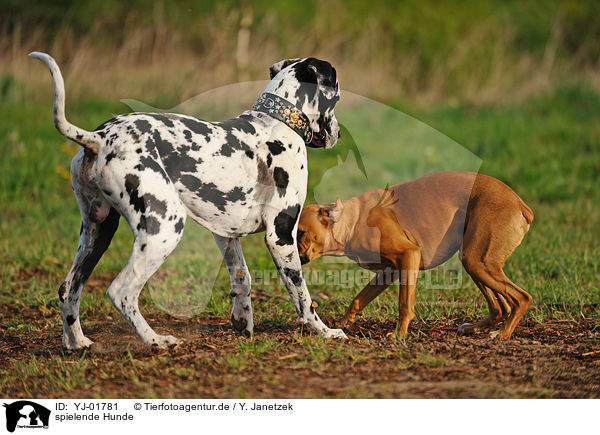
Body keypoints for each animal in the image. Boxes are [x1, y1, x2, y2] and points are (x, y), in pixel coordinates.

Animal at [29, 52, 346, 350]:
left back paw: (76, 342)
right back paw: (157, 341)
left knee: (68, 289)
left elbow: (241, 278)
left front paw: (242, 320)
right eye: (337, 96)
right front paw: (323, 331)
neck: (277, 124)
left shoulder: (226, 234)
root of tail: (99, 137)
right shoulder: (280, 236)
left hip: (98, 232)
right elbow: (303, 296)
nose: (339, 134)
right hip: (164, 231)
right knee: (121, 292)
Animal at [300, 172, 536, 338]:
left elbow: (405, 304)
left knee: (522, 298)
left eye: (300, 232)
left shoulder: (408, 256)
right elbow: (358, 300)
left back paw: (503, 334)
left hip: (477, 262)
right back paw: (473, 328)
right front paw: (341, 325)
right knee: (499, 307)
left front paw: (399, 335)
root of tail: (520, 203)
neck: (353, 221)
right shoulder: (388, 272)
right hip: (477, 263)